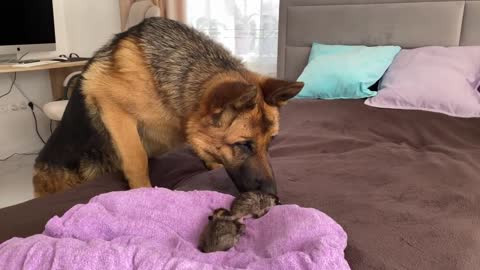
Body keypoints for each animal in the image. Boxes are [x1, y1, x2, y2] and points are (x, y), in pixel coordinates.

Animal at [32, 17, 304, 197]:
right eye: (244, 144)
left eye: (271, 142)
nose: (273, 196)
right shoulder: (112, 106)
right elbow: (136, 157)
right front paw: (143, 192)